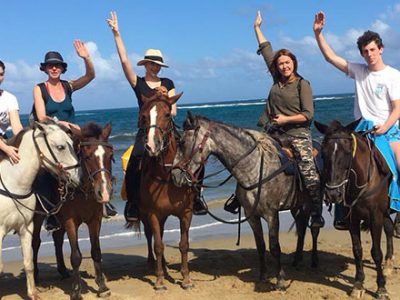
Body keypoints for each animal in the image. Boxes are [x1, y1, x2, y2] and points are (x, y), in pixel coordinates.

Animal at [0, 122, 80, 300]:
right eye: (60, 147)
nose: (78, 178)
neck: (14, 184)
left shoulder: (26, 228)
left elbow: (28, 262)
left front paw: (33, 293)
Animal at [31, 122, 113, 300]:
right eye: (87, 156)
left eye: (110, 155)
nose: (103, 192)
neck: (82, 189)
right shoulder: (70, 221)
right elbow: (76, 256)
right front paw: (76, 290)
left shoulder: (95, 220)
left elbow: (96, 251)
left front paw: (102, 286)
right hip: (37, 218)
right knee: (35, 242)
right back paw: (35, 276)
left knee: (57, 239)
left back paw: (62, 270)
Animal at [130, 89, 196, 290]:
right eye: (143, 116)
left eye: (167, 114)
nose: (152, 146)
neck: (167, 175)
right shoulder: (152, 213)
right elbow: (158, 245)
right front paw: (159, 280)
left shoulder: (186, 212)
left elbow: (184, 244)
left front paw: (186, 279)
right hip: (145, 214)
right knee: (150, 235)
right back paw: (153, 264)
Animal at [170, 113, 320, 290]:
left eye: (182, 142)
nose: (174, 176)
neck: (254, 168)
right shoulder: (252, 215)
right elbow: (260, 245)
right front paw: (263, 276)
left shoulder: (271, 214)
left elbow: (274, 247)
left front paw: (280, 281)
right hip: (297, 206)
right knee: (301, 228)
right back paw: (297, 260)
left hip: (311, 203)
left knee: (314, 229)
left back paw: (314, 261)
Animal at [314, 120, 396, 300]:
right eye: (323, 153)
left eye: (347, 153)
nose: (333, 194)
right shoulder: (352, 219)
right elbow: (357, 250)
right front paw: (358, 284)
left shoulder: (375, 217)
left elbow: (376, 252)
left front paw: (381, 288)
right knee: (389, 228)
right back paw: (388, 264)